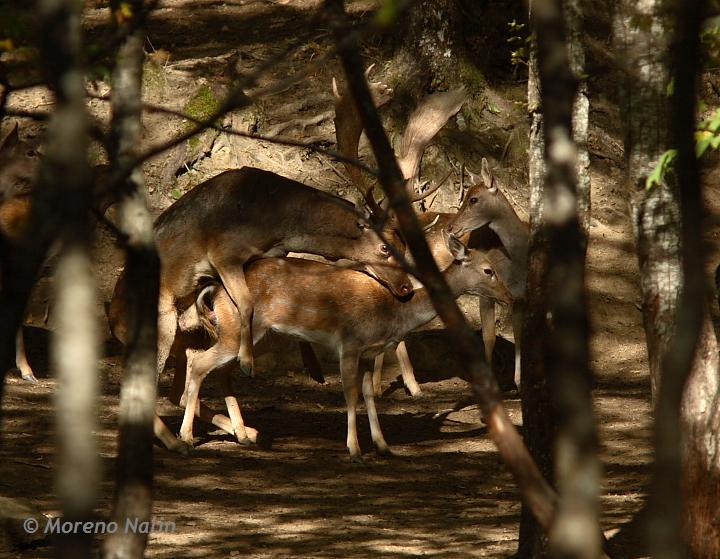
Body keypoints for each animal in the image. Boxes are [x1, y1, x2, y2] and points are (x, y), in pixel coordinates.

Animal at [176, 234, 510, 462]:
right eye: (488, 270)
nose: (507, 296)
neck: (393, 312)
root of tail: (215, 289)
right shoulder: (349, 343)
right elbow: (349, 394)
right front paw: (355, 450)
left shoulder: (370, 352)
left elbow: (368, 395)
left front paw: (383, 446)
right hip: (237, 332)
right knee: (199, 362)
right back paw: (187, 438)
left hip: (253, 338)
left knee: (219, 371)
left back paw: (244, 435)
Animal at [444, 160, 528, 392]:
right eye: (465, 195)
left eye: (474, 199)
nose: (451, 227)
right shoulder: (486, 293)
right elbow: (488, 336)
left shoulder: (520, 298)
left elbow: (519, 334)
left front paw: (520, 383)